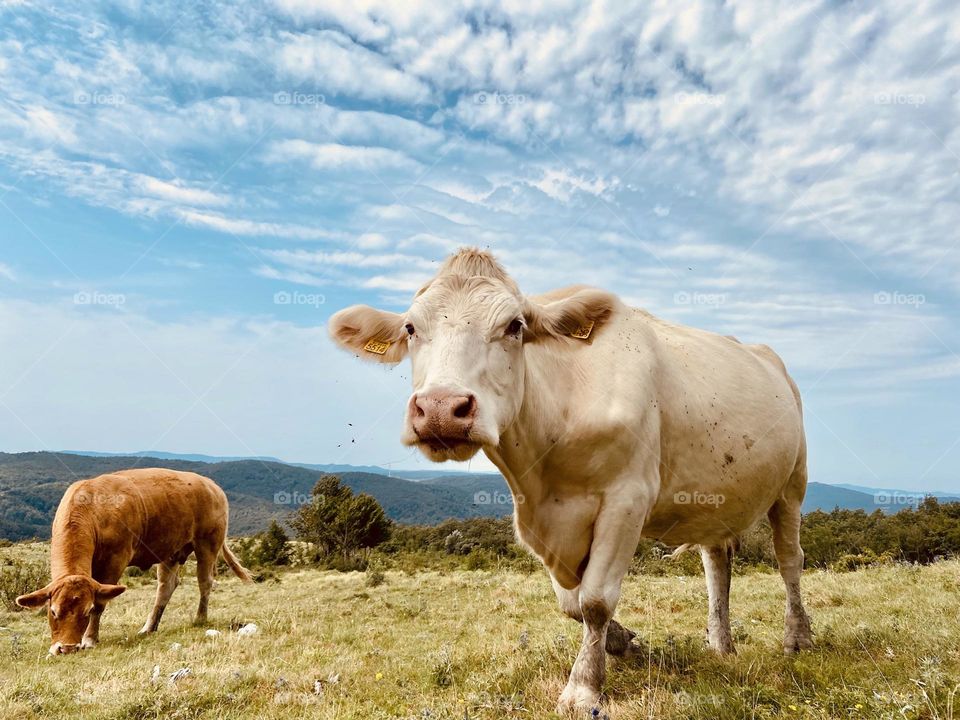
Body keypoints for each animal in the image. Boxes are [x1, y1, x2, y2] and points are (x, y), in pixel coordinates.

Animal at [15, 468, 252, 655]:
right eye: (53, 611)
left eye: (86, 611)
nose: (66, 648)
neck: (92, 509)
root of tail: (211, 485)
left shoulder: (115, 560)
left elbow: (100, 604)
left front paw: (89, 639)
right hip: (170, 551)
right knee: (166, 587)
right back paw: (149, 627)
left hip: (207, 544)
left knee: (205, 582)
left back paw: (200, 618)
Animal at [328, 248, 813, 711]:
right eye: (411, 328)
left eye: (514, 326)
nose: (441, 409)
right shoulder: (541, 518)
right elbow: (570, 603)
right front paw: (622, 642)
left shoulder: (626, 499)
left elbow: (595, 599)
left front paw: (584, 687)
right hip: (715, 497)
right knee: (716, 561)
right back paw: (720, 644)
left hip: (793, 483)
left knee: (790, 559)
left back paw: (798, 639)